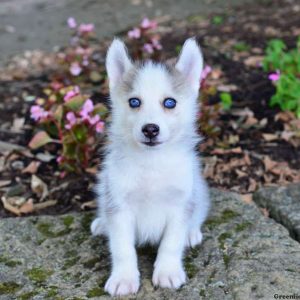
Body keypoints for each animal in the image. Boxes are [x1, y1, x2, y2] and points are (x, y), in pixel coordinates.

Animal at [90, 37, 210, 296]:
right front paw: (124, 278)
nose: (150, 129)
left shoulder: (179, 205)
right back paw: (102, 223)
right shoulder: (119, 206)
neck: (151, 162)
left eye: (169, 102)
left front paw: (168, 272)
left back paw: (192, 232)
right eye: (134, 102)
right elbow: (122, 249)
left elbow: (171, 244)